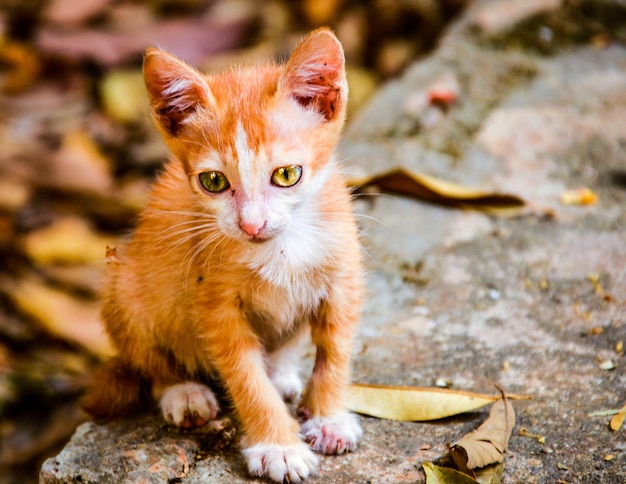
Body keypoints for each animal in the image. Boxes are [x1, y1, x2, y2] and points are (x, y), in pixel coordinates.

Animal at [83, 28, 366, 482]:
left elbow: (336, 351)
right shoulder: (215, 306)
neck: (282, 248)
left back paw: (281, 370)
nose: (251, 225)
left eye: (287, 175)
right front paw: (278, 446)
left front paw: (328, 418)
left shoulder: (343, 276)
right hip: (123, 285)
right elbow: (246, 379)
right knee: (150, 358)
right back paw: (183, 391)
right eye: (214, 181)